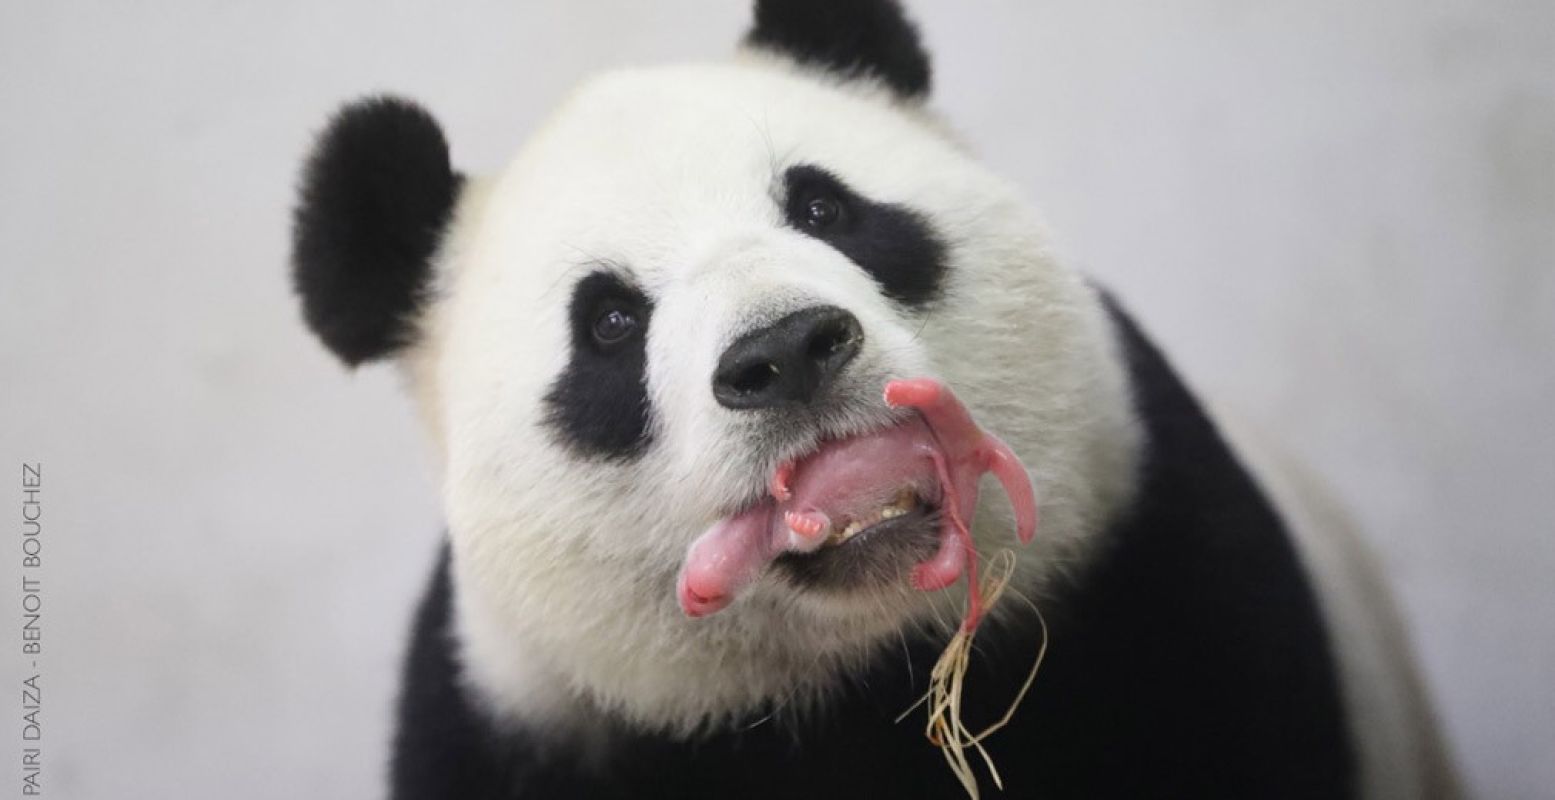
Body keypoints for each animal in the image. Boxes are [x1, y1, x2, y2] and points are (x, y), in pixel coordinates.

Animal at [283, 1, 1455, 796]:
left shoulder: (1164, 574)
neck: (859, 669)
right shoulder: (521, 722)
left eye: (823, 207)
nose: (785, 351)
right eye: (608, 322)